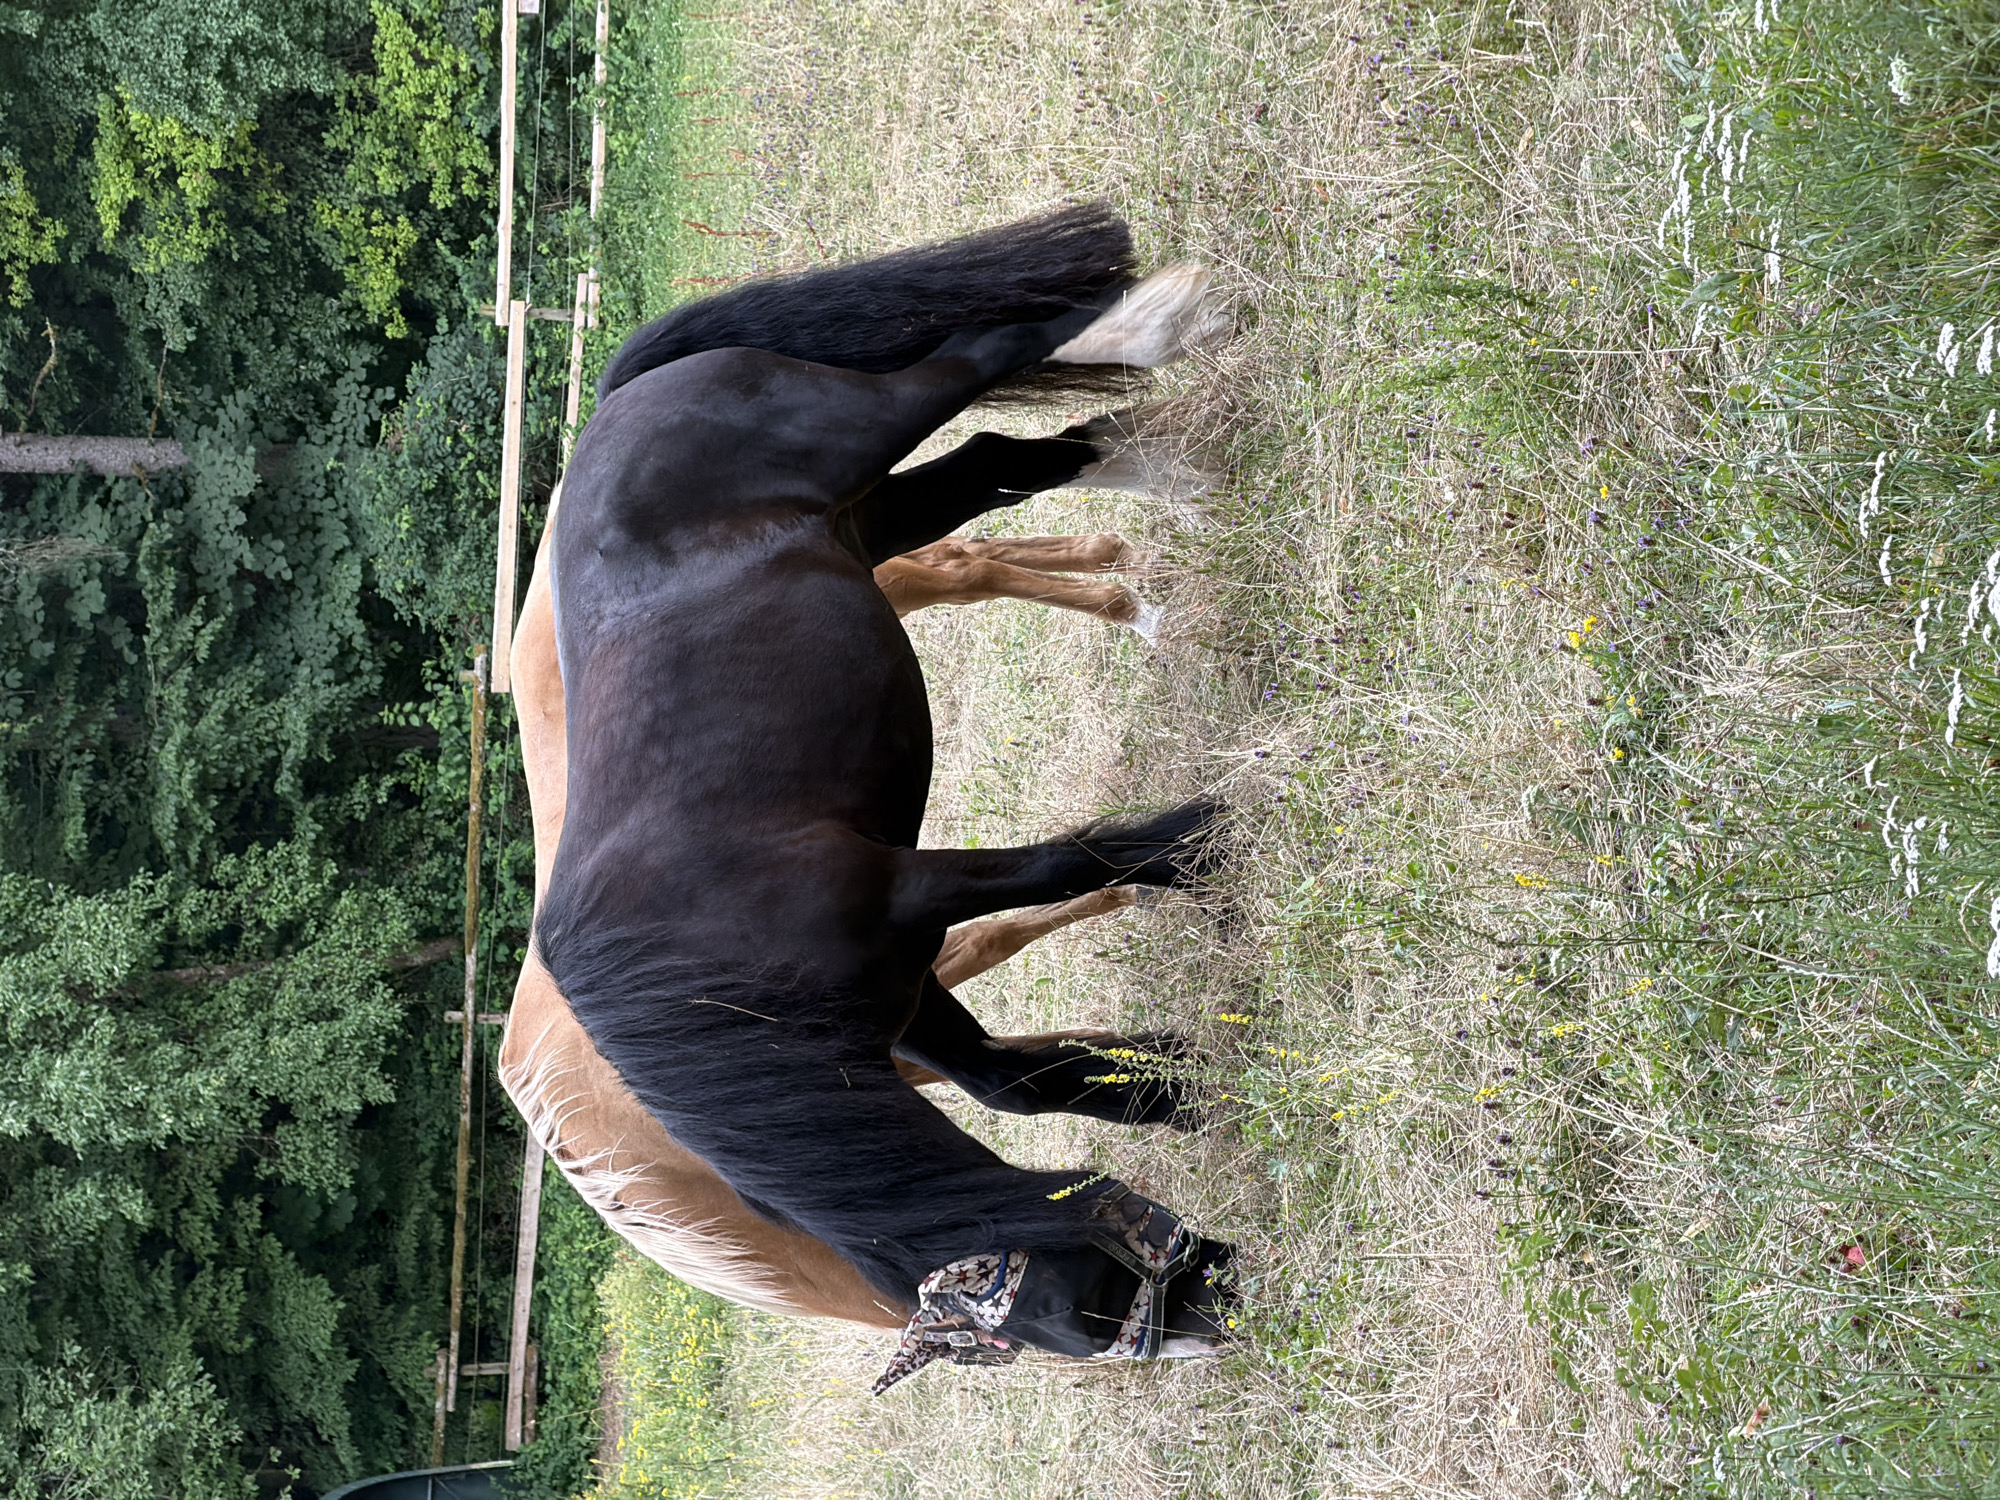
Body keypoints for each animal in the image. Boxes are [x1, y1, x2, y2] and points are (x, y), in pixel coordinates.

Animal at [535, 203, 1233, 1384]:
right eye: (1083, 1313)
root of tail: (616, 405)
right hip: (875, 517)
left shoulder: (914, 894)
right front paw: (1199, 1081)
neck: (712, 974)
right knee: (1005, 459)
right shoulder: (912, 1006)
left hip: (864, 430)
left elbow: (1061, 864)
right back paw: (1166, 457)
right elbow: (1028, 1084)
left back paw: (1164, 319)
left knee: (984, 354)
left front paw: (1211, 846)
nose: (1223, 1309)